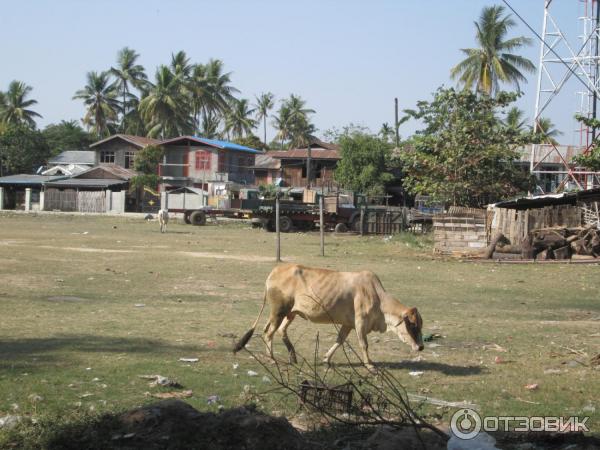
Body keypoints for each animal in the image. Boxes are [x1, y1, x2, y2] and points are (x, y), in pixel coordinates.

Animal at [232, 264, 424, 370]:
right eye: (413, 325)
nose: (421, 347)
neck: (377, 296)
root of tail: (275, 271)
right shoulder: (360, 323)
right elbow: (364, 345)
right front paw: (370, 365)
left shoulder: (348, 324)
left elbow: (339, 341)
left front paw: (326, 359)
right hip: (279, 311)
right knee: (268, 333)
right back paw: (272, 359)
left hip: (289, 313)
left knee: (278, 330)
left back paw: (292, 356)